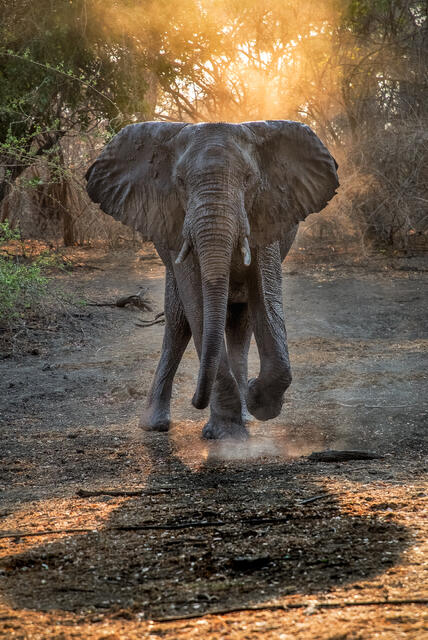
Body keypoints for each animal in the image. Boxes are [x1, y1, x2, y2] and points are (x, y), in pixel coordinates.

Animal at [85, 120, 339, 440]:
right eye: (180, 181)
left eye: (249, 179)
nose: (195, 400)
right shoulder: (176, 222)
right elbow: (196, 302)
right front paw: (226, 433)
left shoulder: (266, 212)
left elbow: (266, 297)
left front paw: (255, 401)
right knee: (178, 323)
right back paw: (155, 424)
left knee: (240, 326)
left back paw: (247, 414)